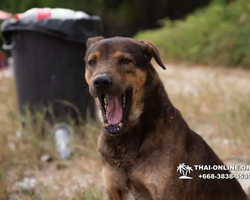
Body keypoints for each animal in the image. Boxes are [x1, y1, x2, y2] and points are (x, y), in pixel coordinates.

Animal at [84, 36, 248, 199]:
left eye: (125, 60)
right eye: (92, 62)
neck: (125, 138)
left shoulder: (165, 193)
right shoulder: (114, 191)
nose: (101, 81)